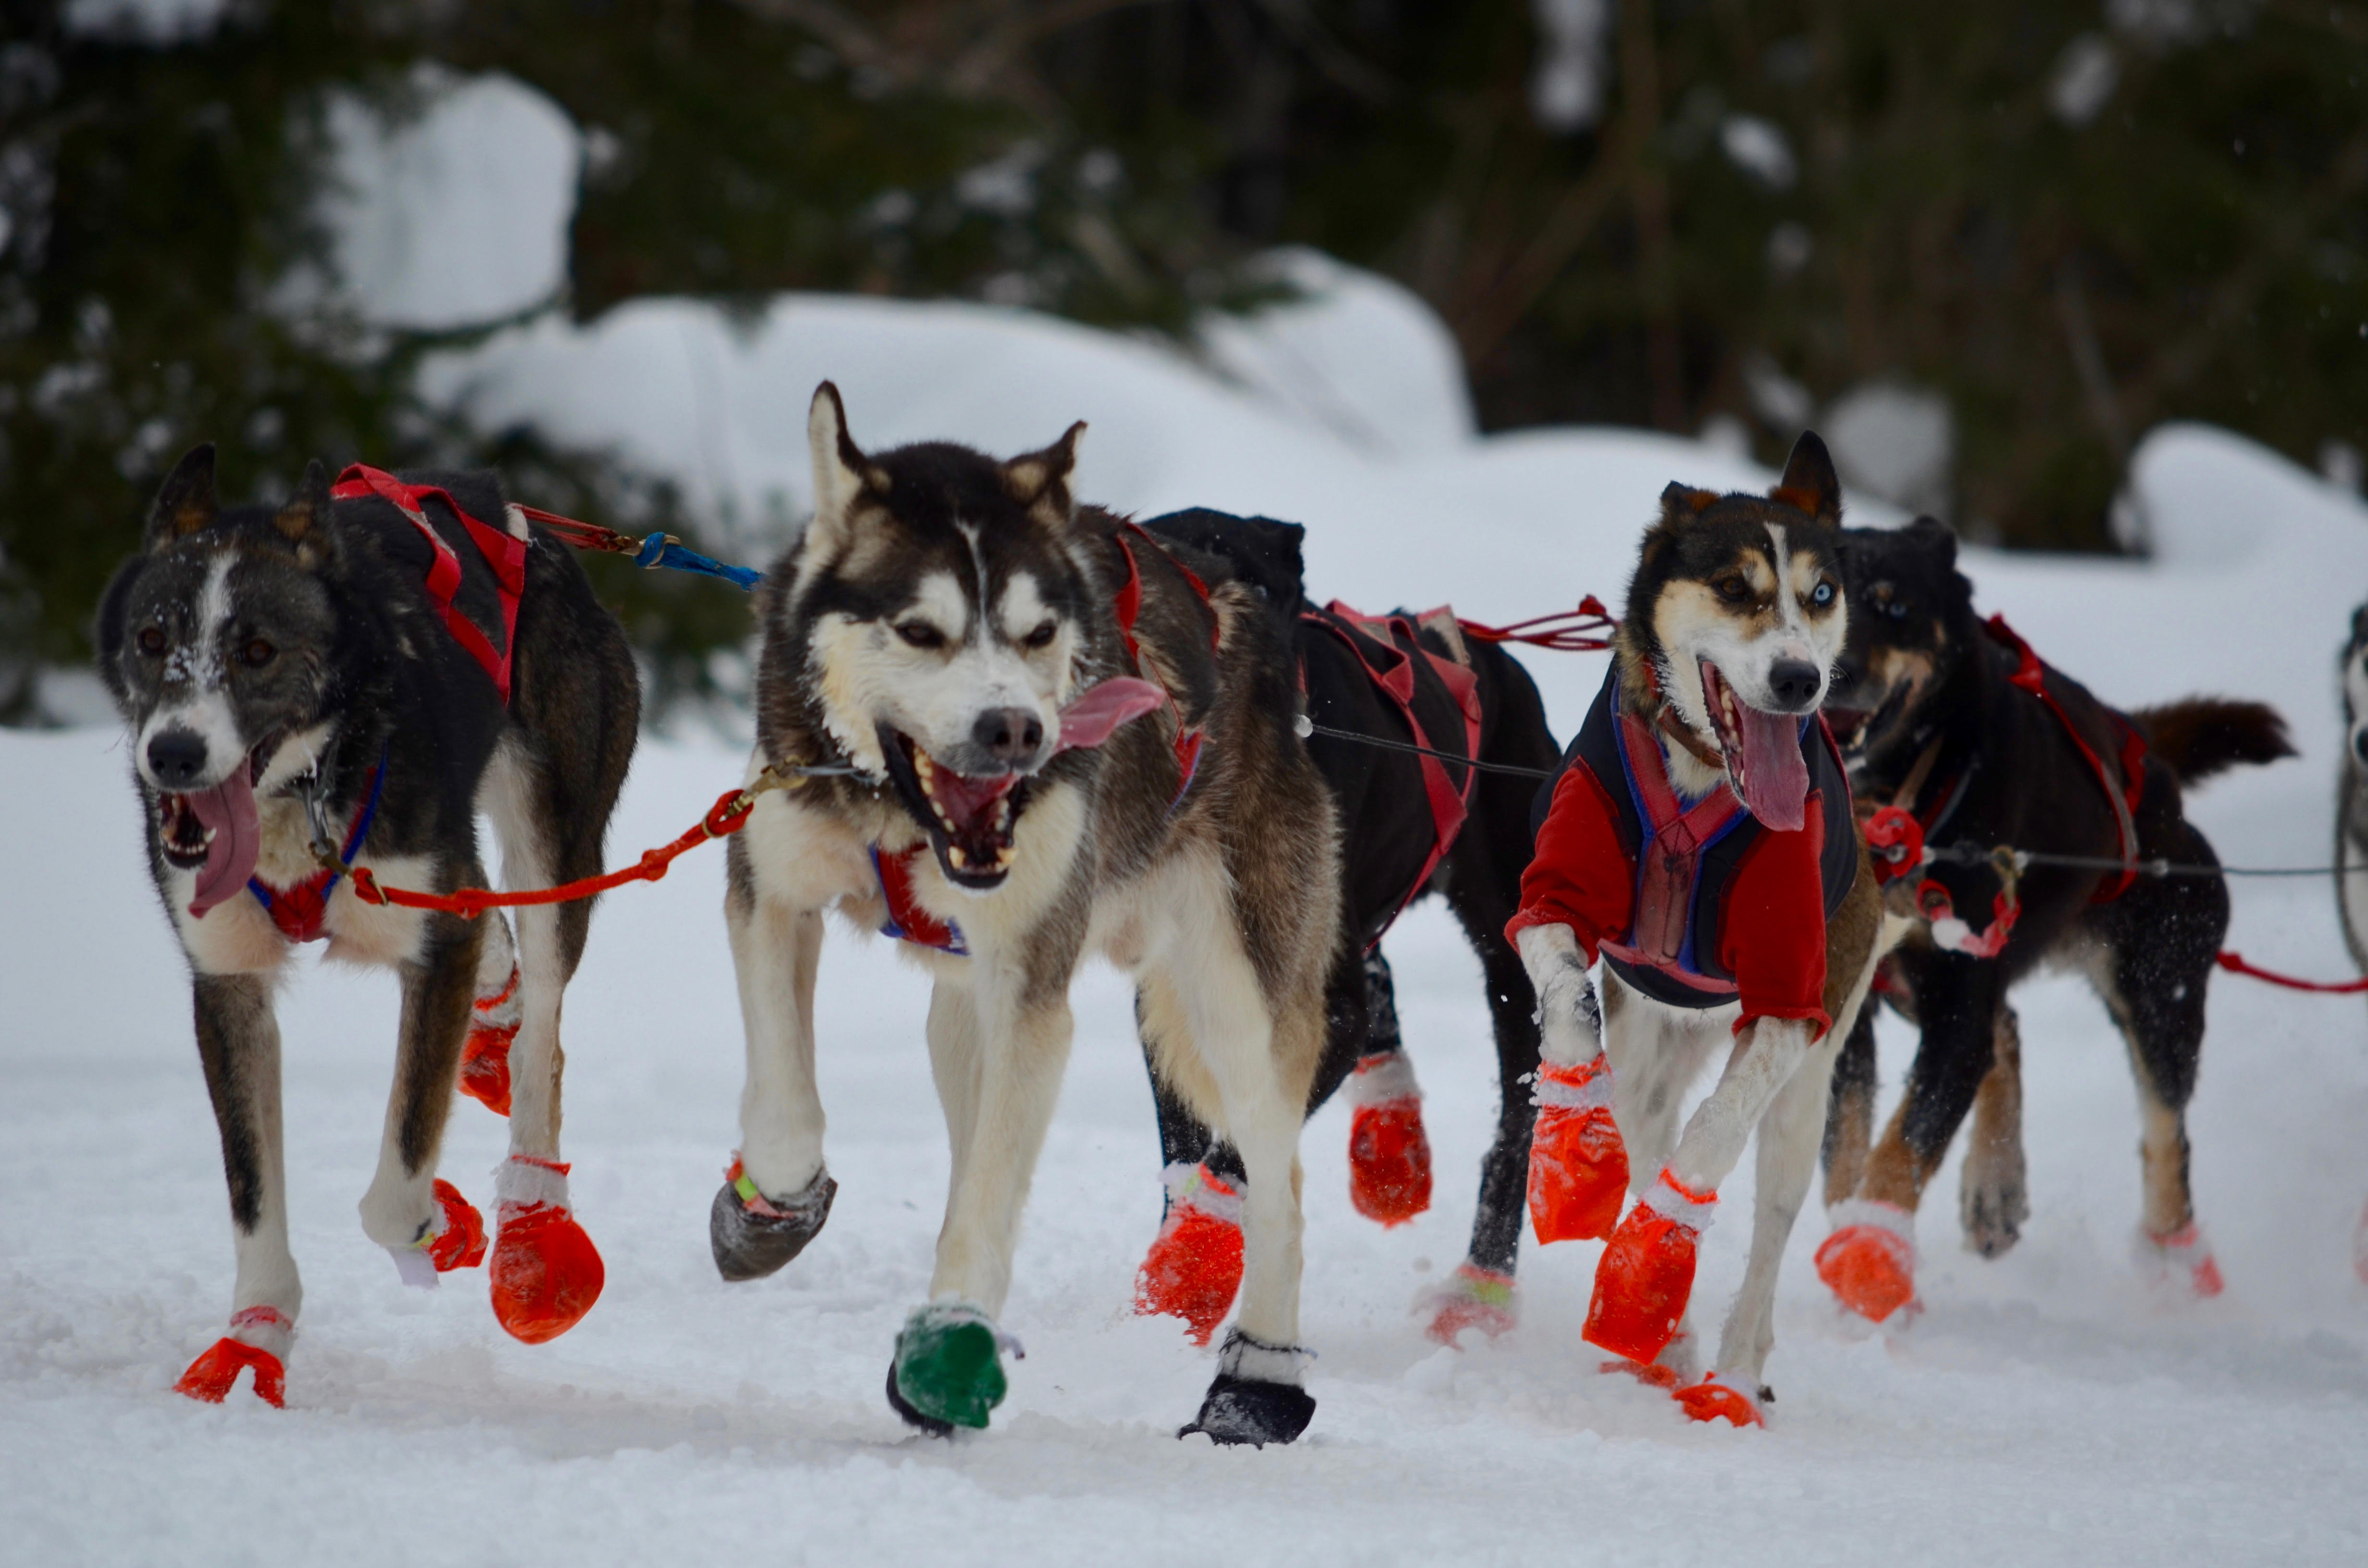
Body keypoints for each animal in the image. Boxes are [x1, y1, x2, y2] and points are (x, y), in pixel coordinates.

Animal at [97, 445, 639, 1411]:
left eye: (258, 651)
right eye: (153, 640)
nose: (174, 754)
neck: (304, 790)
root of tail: (516, 515)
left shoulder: (435, 946)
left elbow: (397, 1177)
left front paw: (440, 1227)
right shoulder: (227, 984)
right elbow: (251, 1190)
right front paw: (255, 1338)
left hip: (554, 848)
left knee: (542, 1033)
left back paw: (532, 1223)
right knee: (494, 943)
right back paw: (492, 1020)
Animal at [710, 391, 1345, 1449]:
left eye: (1038, 632)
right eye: (920, 630)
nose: (1014, 730)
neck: (900, 818)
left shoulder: (1032, 989)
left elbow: (987, 1203)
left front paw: (946, 1350)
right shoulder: (770, 891)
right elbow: (785, 1105)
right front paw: (771, 1209)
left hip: (1235, 1005)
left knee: (1279, 1191)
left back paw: (1259, 1383)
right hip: (962, 1015)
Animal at [1515, 436, 1885, 1431]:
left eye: (1820, 592)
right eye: (1731, 585)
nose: (1799, 679)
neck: (1697, 774)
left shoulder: (1792, 1000)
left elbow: (1715, 1130)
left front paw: (1654, 1254)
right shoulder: (1551, 896)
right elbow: (1566, 1000)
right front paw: (1575, 1157)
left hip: (1805, 1096)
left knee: (1765, 1222)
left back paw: (1725, 1368)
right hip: (1654, 1051)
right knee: (1647, 1130)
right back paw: (1664, 1334)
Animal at [1809, 518, 2292, 1326]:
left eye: (1893, 605)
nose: (1830, 672)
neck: (1897, 812)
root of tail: (2154, 772)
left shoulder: (1954, 1003)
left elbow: (1904, 1142)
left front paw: (1868, 1257)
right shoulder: (1852, 1006)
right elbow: (1847, 1142)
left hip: (2159, 994)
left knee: (2166, 1134)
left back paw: (2176, 1269)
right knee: (2007, 1028)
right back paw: (1996, 1185)